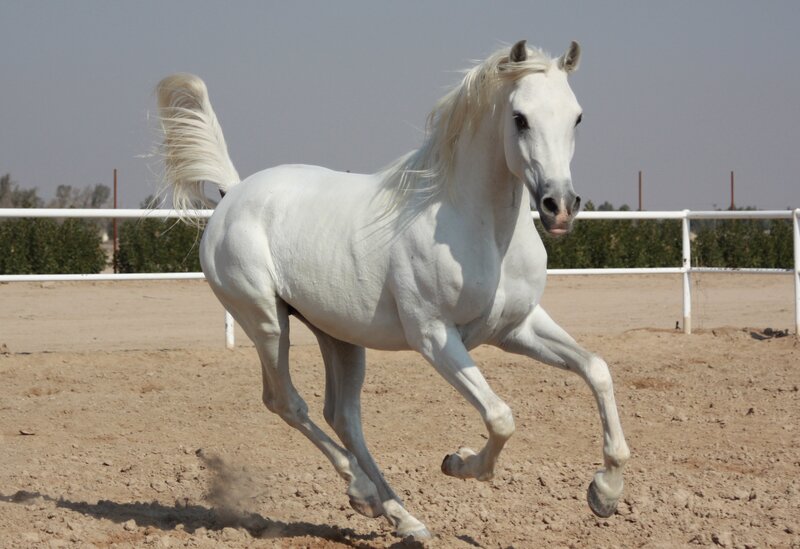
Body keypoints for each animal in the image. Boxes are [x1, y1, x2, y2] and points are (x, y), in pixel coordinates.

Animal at [155, 40, 630, 540]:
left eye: (577, 116)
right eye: (520, 117)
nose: (560, 207)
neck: (478, 228)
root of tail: (232, 194)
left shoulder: (517, 328)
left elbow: (596, 369)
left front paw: (604, 494)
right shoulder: (435, 337)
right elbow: (501, 417)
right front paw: (457, 462)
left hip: (338, 336)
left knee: (343, 415)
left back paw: (402, 518)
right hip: (264, 320)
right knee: (286, 402)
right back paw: (364, 493)